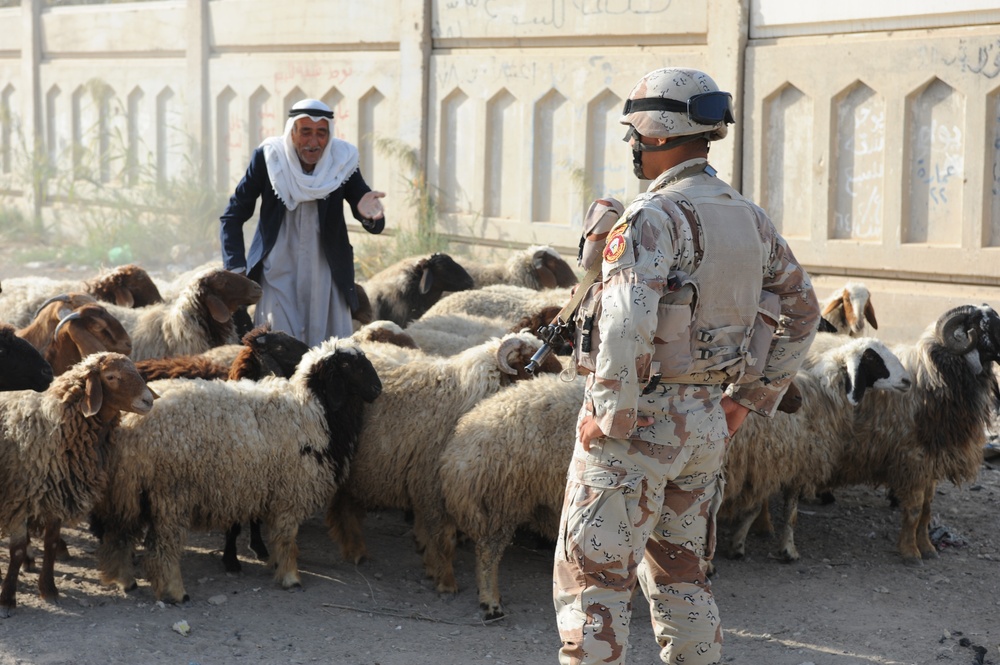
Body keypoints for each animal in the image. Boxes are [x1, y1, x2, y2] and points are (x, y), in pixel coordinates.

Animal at [0, 352, 155, 616]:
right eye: (111, 377)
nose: (148, 400)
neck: (57, 424)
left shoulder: (57, 494)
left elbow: (51, 543)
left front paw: (49, 589)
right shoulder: (21, 496)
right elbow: (17, 550)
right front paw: (8, 598)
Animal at [94, 338, 382, 600]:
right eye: (347, 364)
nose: (377, 389)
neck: (315, 410)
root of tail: (129, 423)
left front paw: (274, 564)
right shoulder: (290, 491)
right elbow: (286, 538)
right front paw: (290, 577)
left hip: (130, 491)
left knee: (119, 536)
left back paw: (125, 580)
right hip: (170, 494)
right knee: (163, 547)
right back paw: (175, 591)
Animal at [326, 328, 568, 592]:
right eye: (535, 365)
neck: (464, 397)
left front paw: (431, 563)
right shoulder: (432, 485)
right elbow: (443, 537)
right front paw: (445, 580)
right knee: (342, 506)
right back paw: (354, 550)